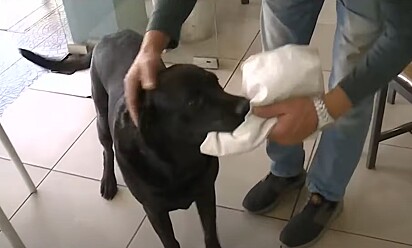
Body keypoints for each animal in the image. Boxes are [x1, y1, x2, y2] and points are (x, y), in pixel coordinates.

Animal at [20, 29, 248, 248]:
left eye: (216, 82)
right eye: (193, 102)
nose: (245, 106)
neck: (178, 161)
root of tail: (108, 36)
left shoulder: (206, 193)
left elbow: (210, 233)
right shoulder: (154, 210)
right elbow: (171, 241)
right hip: (101, 119)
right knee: (107, 150)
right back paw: (108, 181)